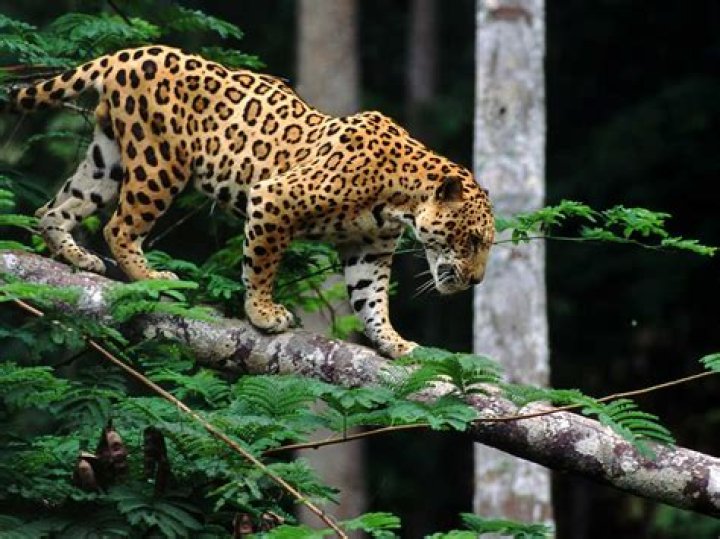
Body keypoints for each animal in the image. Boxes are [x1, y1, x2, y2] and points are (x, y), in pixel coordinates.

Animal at [5, 45, 494, 358]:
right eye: (471, 240)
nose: (476, 281)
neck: (401, 199)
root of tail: (131, 53)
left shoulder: (369, 250)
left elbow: (370, 300)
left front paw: (393, 342)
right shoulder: (275, 199)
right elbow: (261, 265)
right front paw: (263, 313)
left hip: (106, 160)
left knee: (53, 210)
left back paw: (76, 256)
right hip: (159, 163)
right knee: (119, 226)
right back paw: (150, 277)